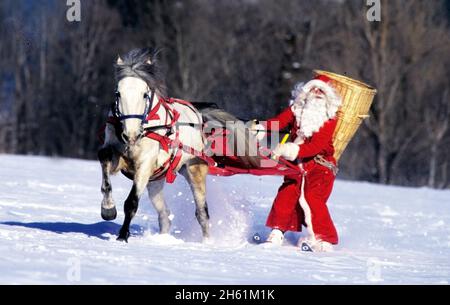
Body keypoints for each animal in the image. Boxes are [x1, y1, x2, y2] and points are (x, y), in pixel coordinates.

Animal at [98, 48, 260, 242]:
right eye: (118, 94)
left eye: (144, 94)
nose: (130, 134)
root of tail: (199, 116)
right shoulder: (118, 156)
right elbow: (104, 158)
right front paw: (108, 208)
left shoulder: (144, 165)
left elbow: (131, 203)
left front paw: (122, 236)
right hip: (155, 181)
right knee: (165, 215)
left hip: (194, 170)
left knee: (202, 213)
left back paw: (207, 242)